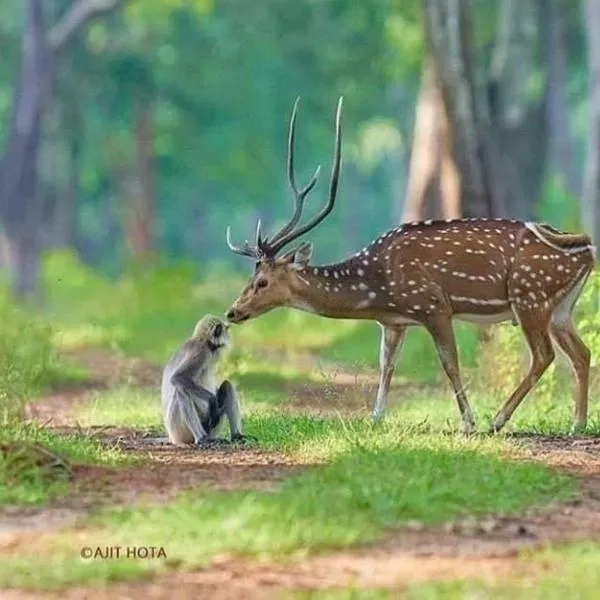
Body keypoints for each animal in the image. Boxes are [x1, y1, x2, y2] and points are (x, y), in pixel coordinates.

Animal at [161, 314, 252, 446]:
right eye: (226, 329)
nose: (230, 334)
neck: (206, 342)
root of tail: (171, 437)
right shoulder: (201, 350)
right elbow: (178, 377)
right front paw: (212, 400)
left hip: (212, 428)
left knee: (227, 385)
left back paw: (236, 437)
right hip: (179, 431)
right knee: (181, 391)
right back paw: (202, 438)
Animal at [225, 97, 596, 436]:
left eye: (261, 281)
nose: (232, 312)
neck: (378, 289)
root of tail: (587, 249)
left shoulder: (433, 305)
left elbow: (450, 363)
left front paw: (468, 422)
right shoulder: (394, 321)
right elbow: (386, 364)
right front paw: (375, 418)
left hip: (529, 294)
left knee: (544, 355)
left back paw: (498, 419)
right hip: (560, 306)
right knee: (582, 352)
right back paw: (577, 424)